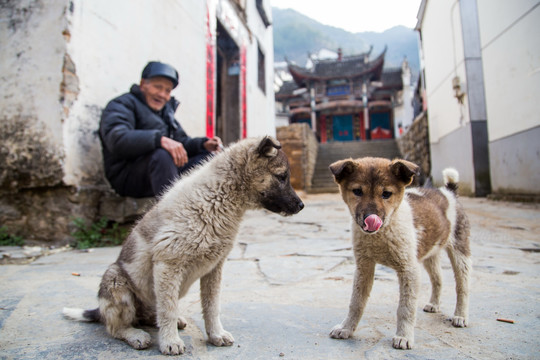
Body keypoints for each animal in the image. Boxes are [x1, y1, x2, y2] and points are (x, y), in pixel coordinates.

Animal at [63, 136, 304, 356]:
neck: (218, 196)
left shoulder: (214, 267)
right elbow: (168, 310)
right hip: (117, 282)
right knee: (116, 327)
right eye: (282, 177)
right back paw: (136, 335)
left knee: (152, 314)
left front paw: (216, 334)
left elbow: (211, 306)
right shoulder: (168, 264)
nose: (301, 205)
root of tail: (100, 310)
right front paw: (170, 342)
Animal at [326, 157, 470, 348]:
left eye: (386, 194)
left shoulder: (409, 269)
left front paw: (404, 336)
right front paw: (346, 328)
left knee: (462, 286)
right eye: (357, 191)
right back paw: (434, 304)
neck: (381, 234)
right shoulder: (364, 266)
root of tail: (448, 192)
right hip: (429, 253)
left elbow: (405, 308)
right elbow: (356, 302)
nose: (370, 219)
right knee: (438, 278)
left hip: (460, 252)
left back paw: (460, 316)